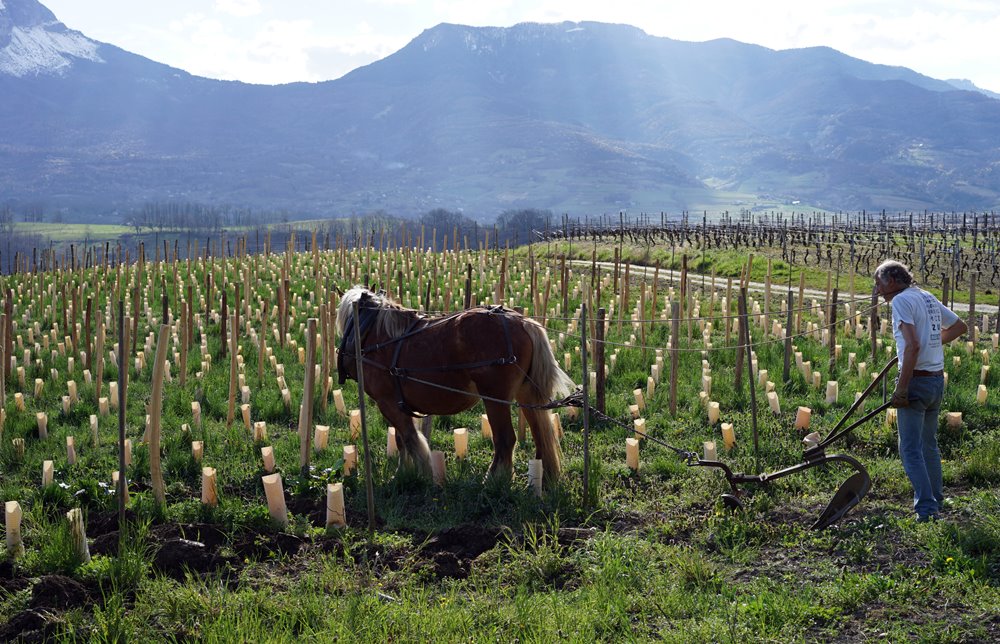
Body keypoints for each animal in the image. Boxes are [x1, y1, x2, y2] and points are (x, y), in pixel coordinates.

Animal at [336, 286, 572, 488]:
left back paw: (492, 481)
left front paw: (416, 473)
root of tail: (522, 321)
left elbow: (410, 440)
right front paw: (407, 473)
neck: (372, 334)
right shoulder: (398, 405)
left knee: (505, 439)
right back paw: (544, 480)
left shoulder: (388, 404)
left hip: (495, 399)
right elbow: (402, 440)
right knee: (541, 435)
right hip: (526, 395)